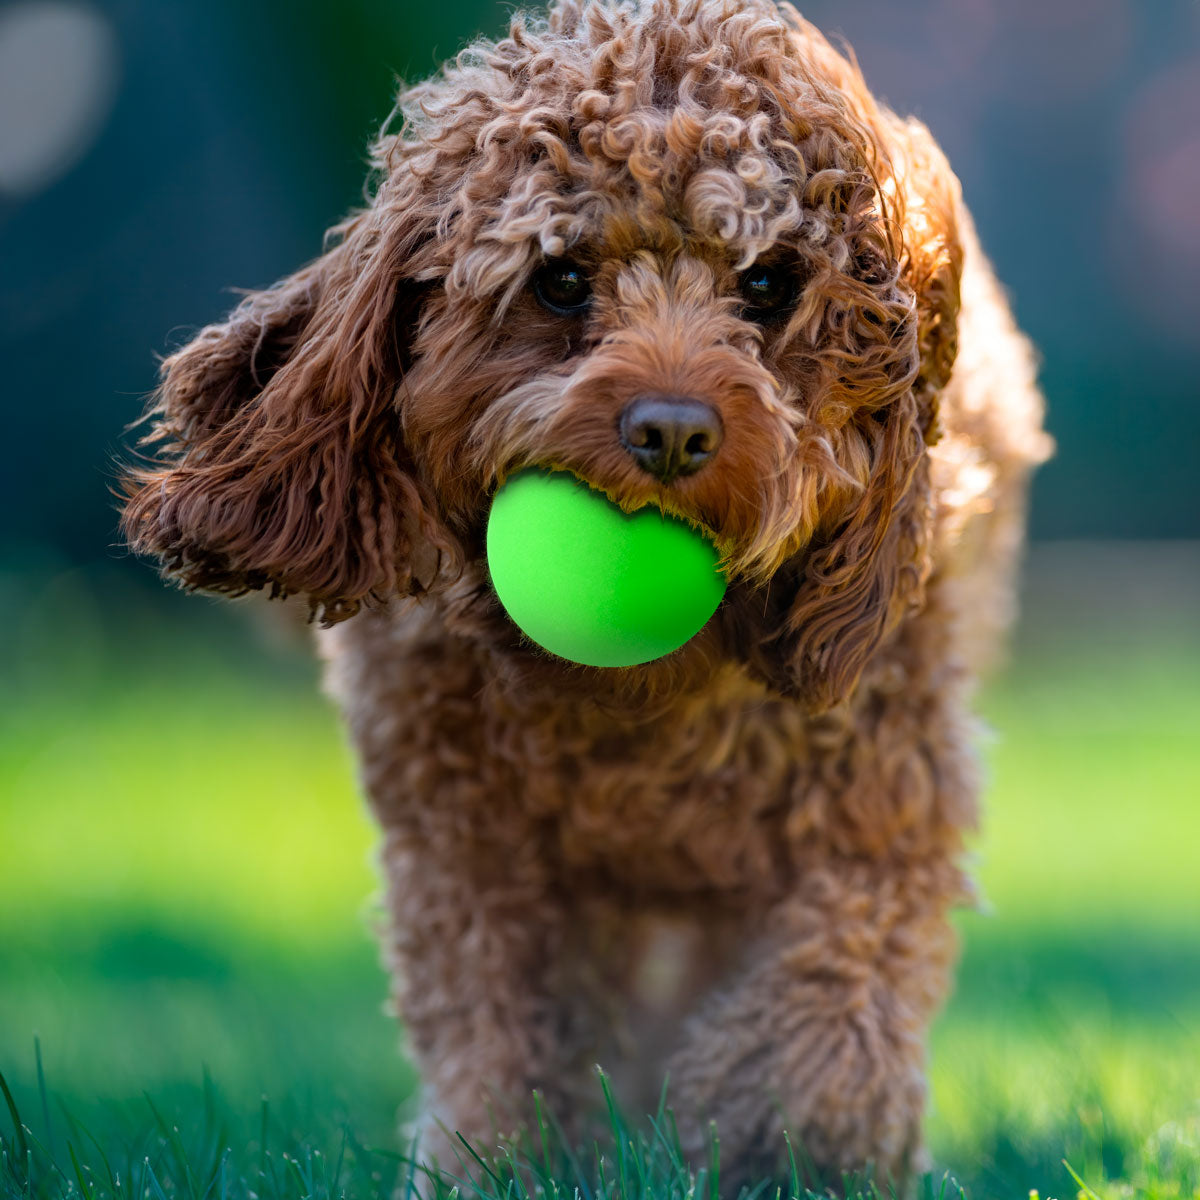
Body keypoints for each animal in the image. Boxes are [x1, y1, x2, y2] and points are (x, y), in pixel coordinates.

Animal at [117, 0, 1046, 1185]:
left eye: (768, 282)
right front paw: (496, 1165)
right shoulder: (473, 849)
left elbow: (827, 1007)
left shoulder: (872, 803)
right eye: (560, 279)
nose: (673, 430)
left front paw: (784, 1154)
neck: (642, 700)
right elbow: (503, 1034)